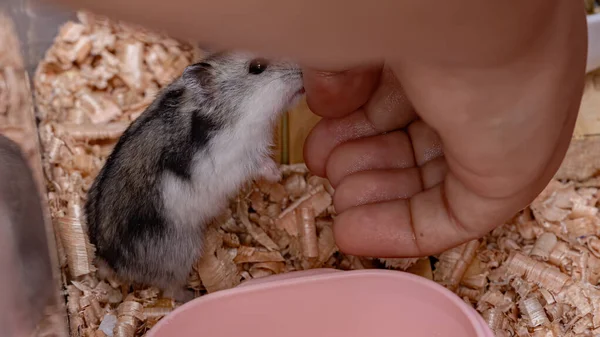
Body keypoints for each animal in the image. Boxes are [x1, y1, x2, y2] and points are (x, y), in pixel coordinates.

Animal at [84, 51, 304, 300]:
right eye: (257, 67)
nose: (302, 70)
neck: (232, 113)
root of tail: (108, 262)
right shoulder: (239, 159)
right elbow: (260, 165)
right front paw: (278, 174)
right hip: (182, 252)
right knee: (170, 289)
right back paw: (191, 295)